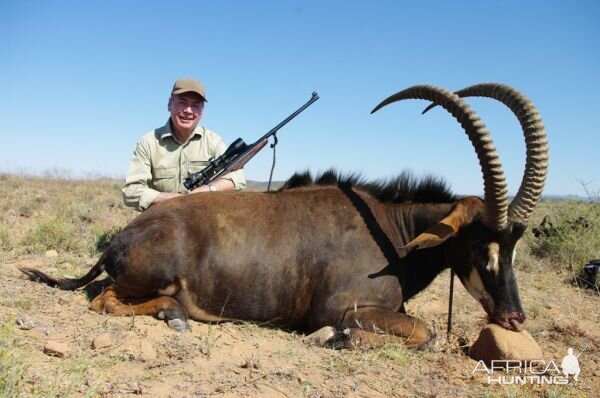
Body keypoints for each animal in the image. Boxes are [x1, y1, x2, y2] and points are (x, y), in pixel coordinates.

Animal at [21, 84, 548, 348]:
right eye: (479, 241)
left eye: (515, 242)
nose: (514, 318)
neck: (391, 234)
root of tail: (121, 238)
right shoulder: (344, 308)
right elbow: (426, 333)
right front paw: (331, 339)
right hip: (148, 277)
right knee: (103, 299)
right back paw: (175, 315)